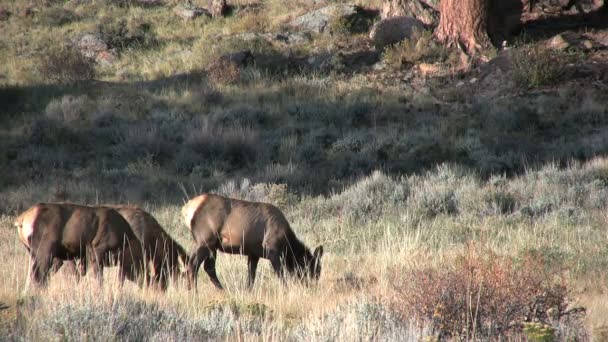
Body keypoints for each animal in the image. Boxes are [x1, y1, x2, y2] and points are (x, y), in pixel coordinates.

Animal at [13, 202, 147, 288]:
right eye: (140, 264)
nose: (144, 282)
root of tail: (21, 220)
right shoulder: (97, 249)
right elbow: (98, 278)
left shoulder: (75, 256)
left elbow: (77, 275)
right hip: (45, 250)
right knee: (38, 275)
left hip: (33, 252)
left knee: (36, 276)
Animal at [180, 194, 324, 290]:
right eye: (314, 270)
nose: (313, 287)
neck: (286, 244)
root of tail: (186, 210)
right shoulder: (272, 250)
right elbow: (280, 274)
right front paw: (286, 290)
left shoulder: (253, 254)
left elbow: (251, 277)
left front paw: (248, 291)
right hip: (205, 241)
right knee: (193, 265)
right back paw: (195, 292)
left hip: (212, 246)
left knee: (207, 267)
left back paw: (221, 290)